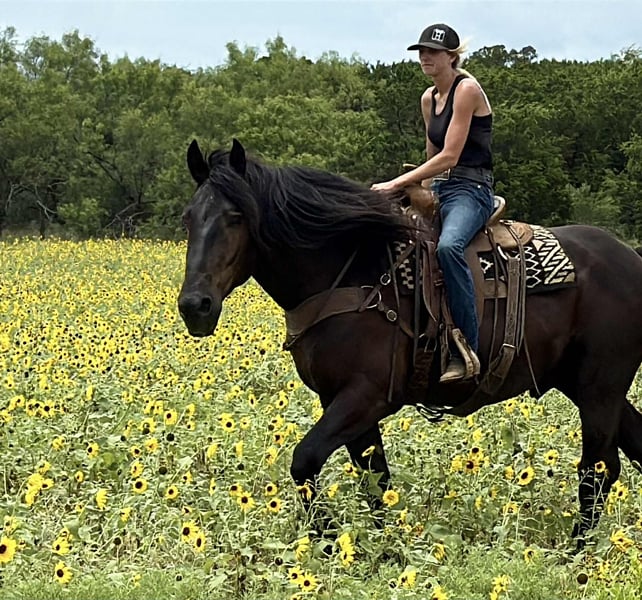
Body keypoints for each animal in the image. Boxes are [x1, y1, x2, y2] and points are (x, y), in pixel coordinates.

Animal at [178, 139, 642, 543]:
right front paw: (382, 550)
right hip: (588, 387)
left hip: (600, 390)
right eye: (188, 218)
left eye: (236, 216)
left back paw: (575, 552)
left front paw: (327, 542)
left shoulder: (366, 397)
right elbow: (375, 478)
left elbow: (305, 461)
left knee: (598, 469)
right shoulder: (340, 400)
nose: (195, 305)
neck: (351, 275)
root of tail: (631, 258)